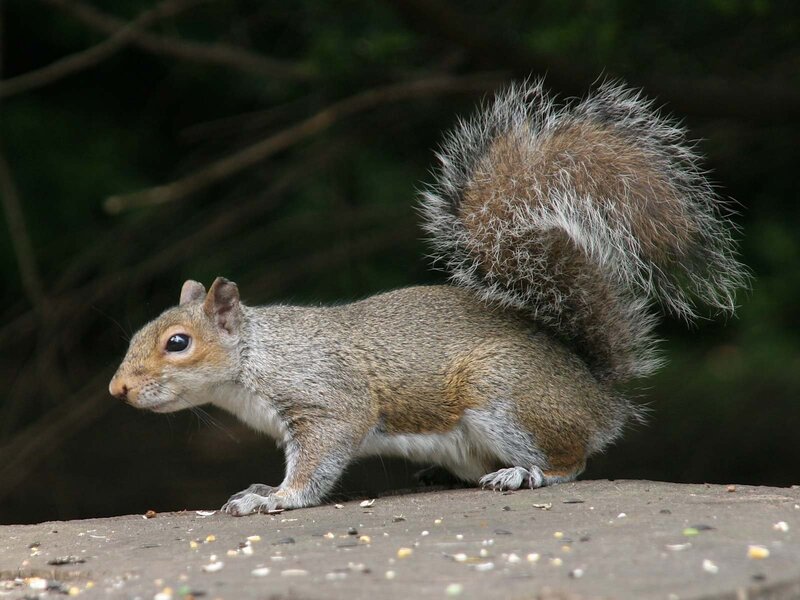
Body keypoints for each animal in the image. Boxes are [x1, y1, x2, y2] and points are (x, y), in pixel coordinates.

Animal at [109, 80, 746, 516]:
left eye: (177, 343)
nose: (118, 390)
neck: (256, 357)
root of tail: (598, 395)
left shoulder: (328, 396)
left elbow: (321, 457)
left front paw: (277, 497)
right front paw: (266, 487)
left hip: (504, 393)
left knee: (572, 462)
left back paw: (523, 475)